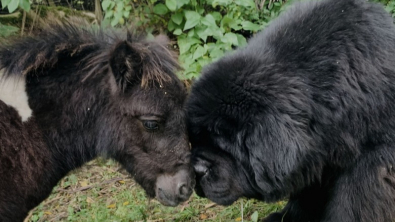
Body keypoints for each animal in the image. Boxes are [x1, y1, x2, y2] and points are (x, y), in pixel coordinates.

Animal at [187, 0, 395, 220]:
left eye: (225, 147)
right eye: (194, 140)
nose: (197, 170)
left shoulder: (373, 158)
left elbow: (355, 201)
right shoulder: (313, 155)